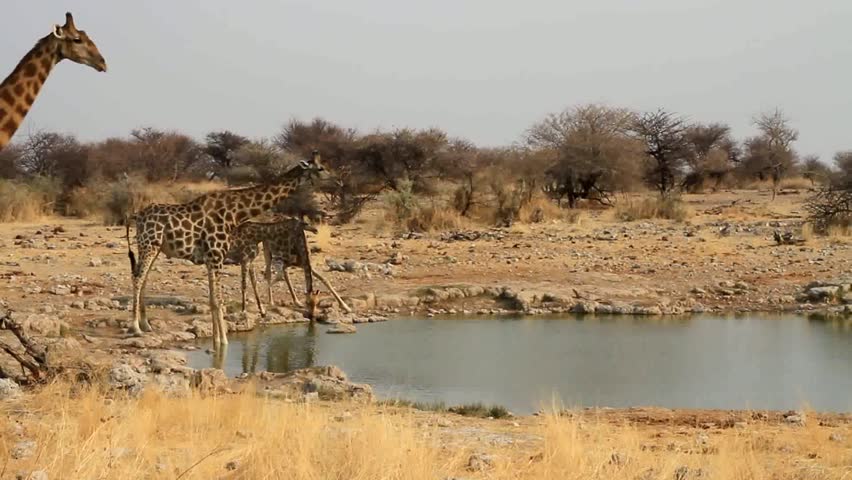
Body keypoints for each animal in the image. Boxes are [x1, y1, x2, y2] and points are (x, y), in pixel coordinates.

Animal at [126, 152, 326, 347]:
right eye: (321, 168)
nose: (331, 179)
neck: (235, 213)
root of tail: (137, 216)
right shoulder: (216, 256)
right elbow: (219, 300)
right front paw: (222, 341)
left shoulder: (212, 259)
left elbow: (214, 299)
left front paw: (217, 339)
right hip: (148, 245)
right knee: (137, 278)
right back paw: (136, 327)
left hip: (155, 248)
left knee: (143, 279)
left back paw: (146, 324)